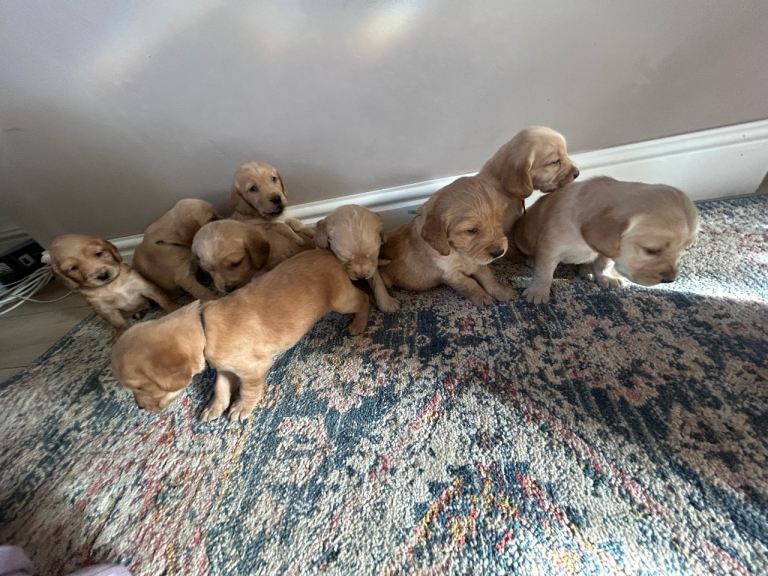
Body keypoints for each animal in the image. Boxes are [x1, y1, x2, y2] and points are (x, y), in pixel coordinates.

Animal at [50, 234, 178, 333]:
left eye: (99, 253)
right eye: (73, 268)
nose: (103, 275)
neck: (112, 285)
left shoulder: (144, 286)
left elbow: (164, 300)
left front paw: (175, 309)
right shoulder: (104, 308)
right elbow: (119, 323)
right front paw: (125, 333)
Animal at [112, 249, 370, 420]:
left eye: (140, 387)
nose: (140, 408)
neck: (204, 327)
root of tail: (329, 253)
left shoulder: (254, 368)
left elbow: (248, 390)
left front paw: (241, 408)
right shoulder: (225, 368)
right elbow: (220, 388)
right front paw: (215, 407)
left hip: (341, 300)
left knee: (363, 298)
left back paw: (360, 322)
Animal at [379, 177, 514, 306]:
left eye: (499, 221)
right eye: (471, 230)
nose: (499, 252)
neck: (459, 251)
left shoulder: (477, 262)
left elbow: (488, 277)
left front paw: (501, 291)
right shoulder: (450, 273)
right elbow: (470, 283)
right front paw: (482, 297)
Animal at [513, 176, 700, 303]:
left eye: (685, 248)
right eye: (651, 250)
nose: (670, 280)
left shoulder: (607, 251)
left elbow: (603, 264)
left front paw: (605, 276)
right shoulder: (550, 248)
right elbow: (544, 272)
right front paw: (538, 291)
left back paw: (587, 270)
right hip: (524, 240)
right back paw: (531, 259)